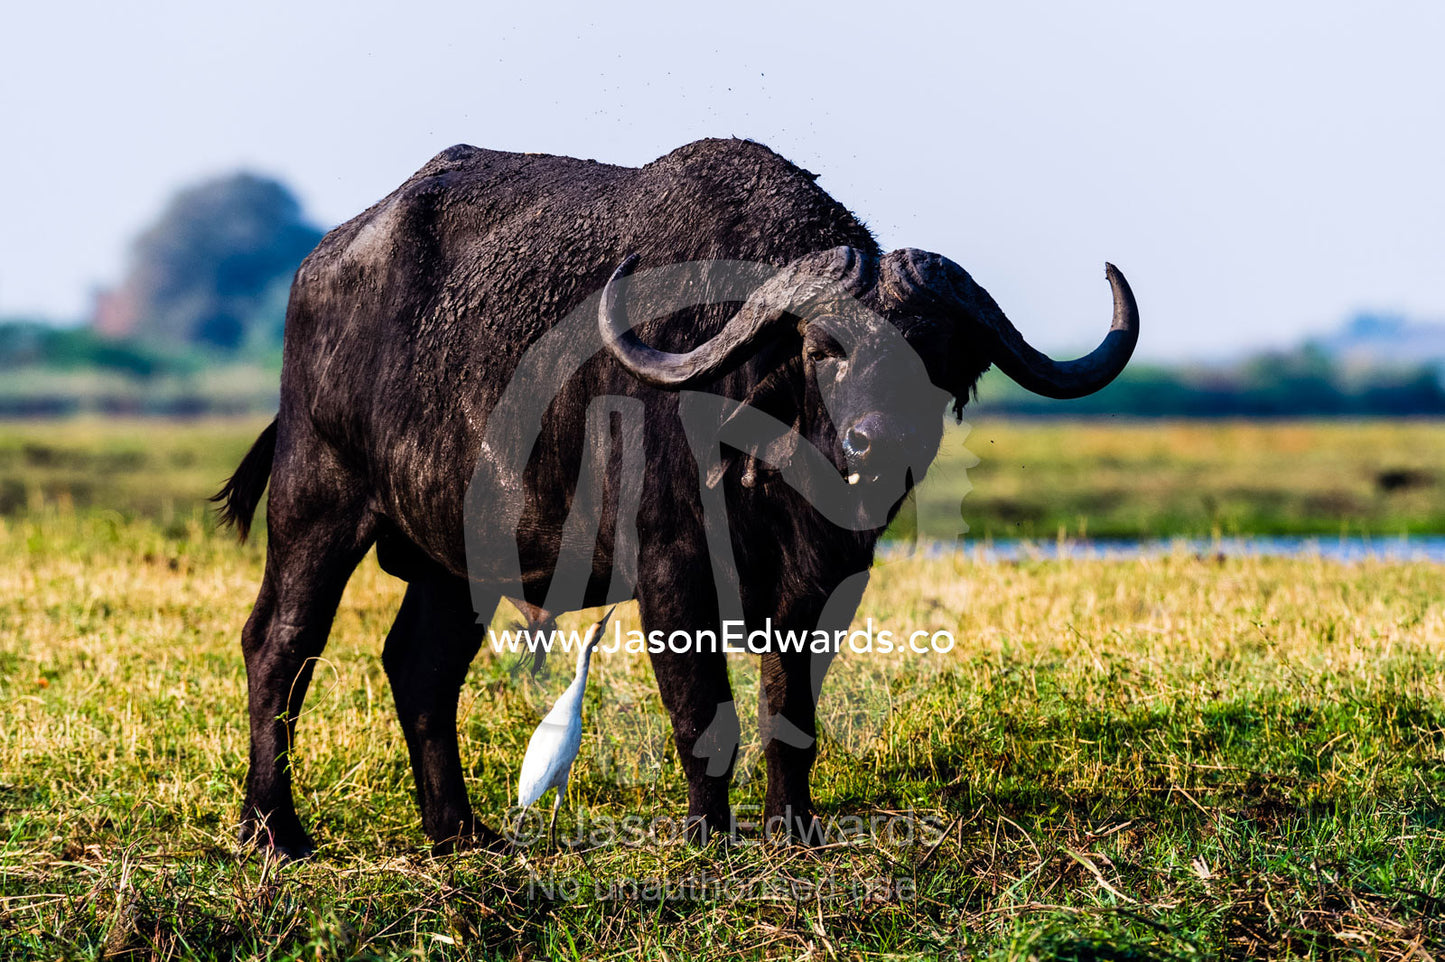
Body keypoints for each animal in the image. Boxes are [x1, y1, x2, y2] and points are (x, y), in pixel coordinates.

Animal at [216, 138, 1137, 857]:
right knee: (280, 645)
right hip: (316, 501)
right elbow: (701, 708)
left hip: (454, 558)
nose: (876, 443)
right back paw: (274, 830)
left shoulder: (827, 579)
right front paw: (707, 833)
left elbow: (789, 707)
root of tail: (323, 262)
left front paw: (793, 828)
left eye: (932, 352)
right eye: (823, 348)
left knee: (420, 664)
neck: (764, 450)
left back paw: (459, 831)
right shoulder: (670, 571)